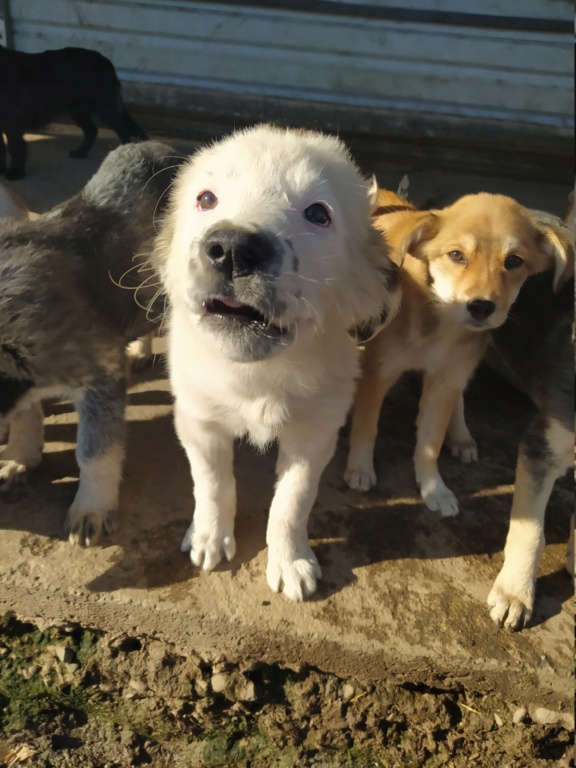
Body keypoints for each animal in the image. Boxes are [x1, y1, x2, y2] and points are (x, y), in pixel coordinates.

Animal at [0, 45, 147, 181]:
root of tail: (105, 61)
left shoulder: (12, 124)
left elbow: (15, 147)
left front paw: (16, 173)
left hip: (106, 109)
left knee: (123, 130)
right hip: (79, 112)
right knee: (92, 130)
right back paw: (81, 152)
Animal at [155, 124, 402, 600]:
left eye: (318, 214)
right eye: (207, 199)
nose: (232, 248)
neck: (257, 375)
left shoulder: (315, 433)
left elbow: (292, 501)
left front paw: (291, 563)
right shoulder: (198, 420)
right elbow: (212, 483)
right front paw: (210, 538)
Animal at [344, 189, 572, 520]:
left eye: (514, 261)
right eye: (456, 255)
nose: (481, 307)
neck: (439, 322)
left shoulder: (445, 379)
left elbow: (430, 443)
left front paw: (433, 488)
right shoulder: (379, 370)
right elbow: (367, 427)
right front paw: (359, 469)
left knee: (459, 396)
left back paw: (461, 435)